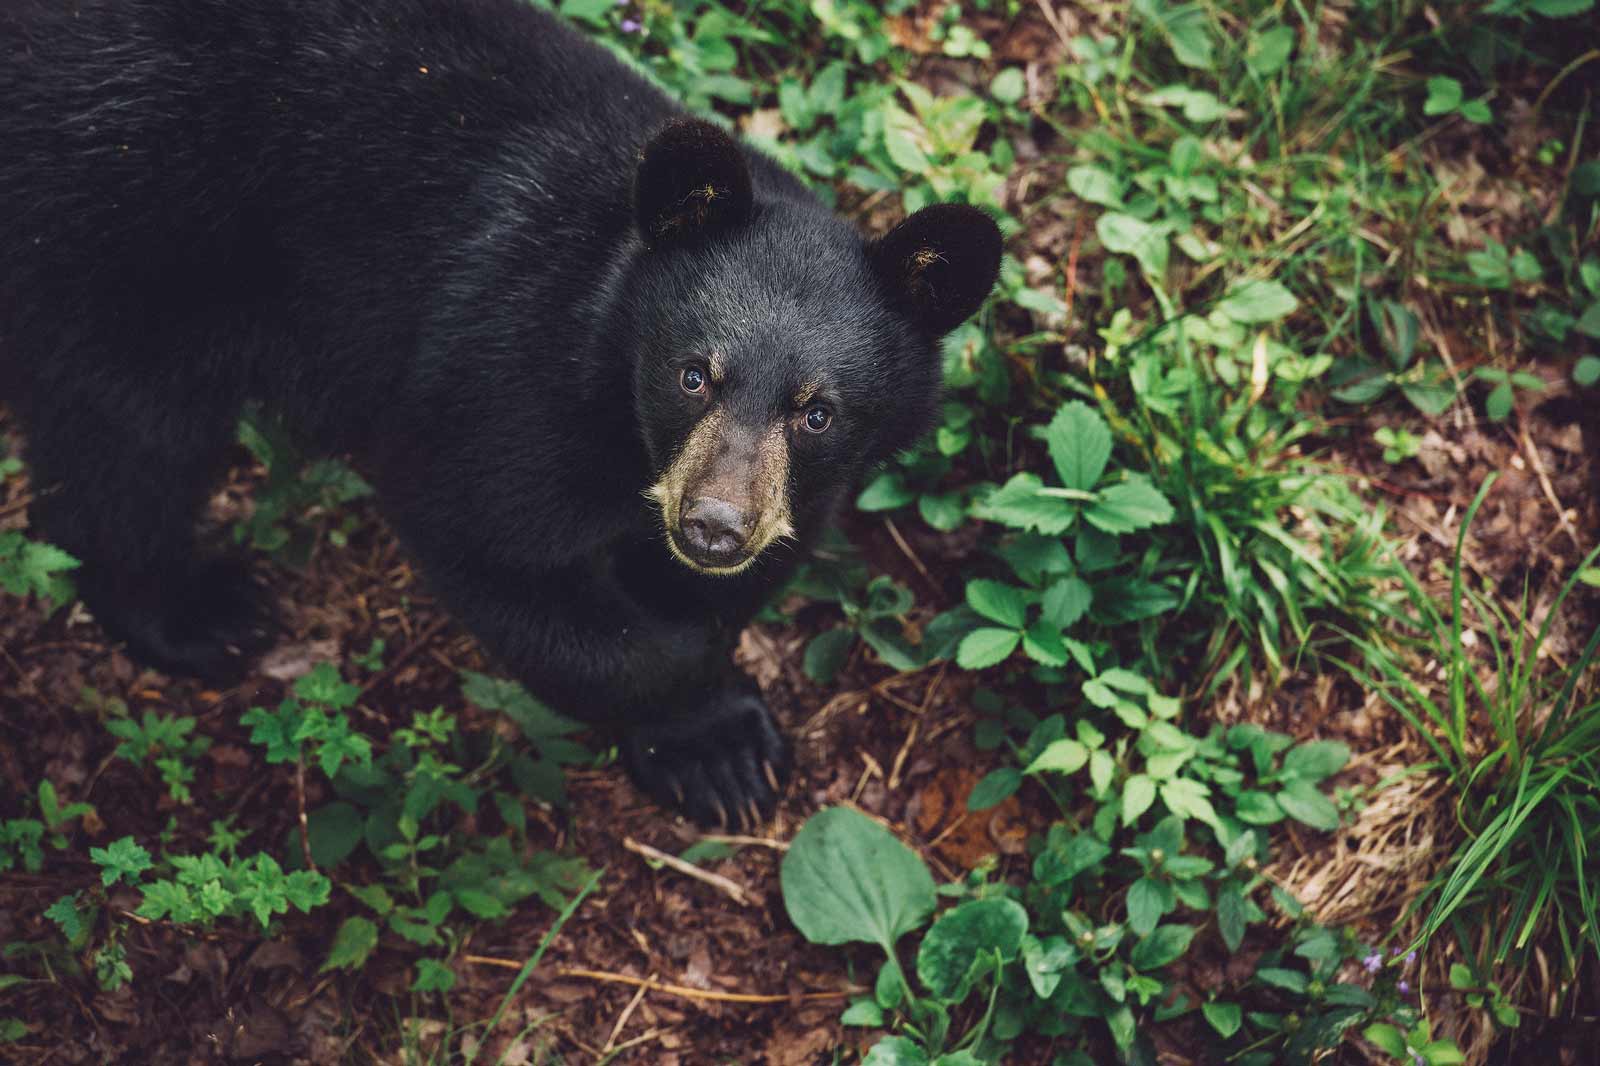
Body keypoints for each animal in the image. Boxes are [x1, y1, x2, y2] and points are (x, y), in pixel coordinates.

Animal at [0, 0, 998, 819]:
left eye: (816, 411)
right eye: (693, 375)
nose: (713, 526)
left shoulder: (802, 487)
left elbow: (731, 584)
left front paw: (714, 740)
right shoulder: (509, 379)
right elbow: (492, 542)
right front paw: (708, 739)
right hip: (122, 222)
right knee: (130, 443)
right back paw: (200, 610)